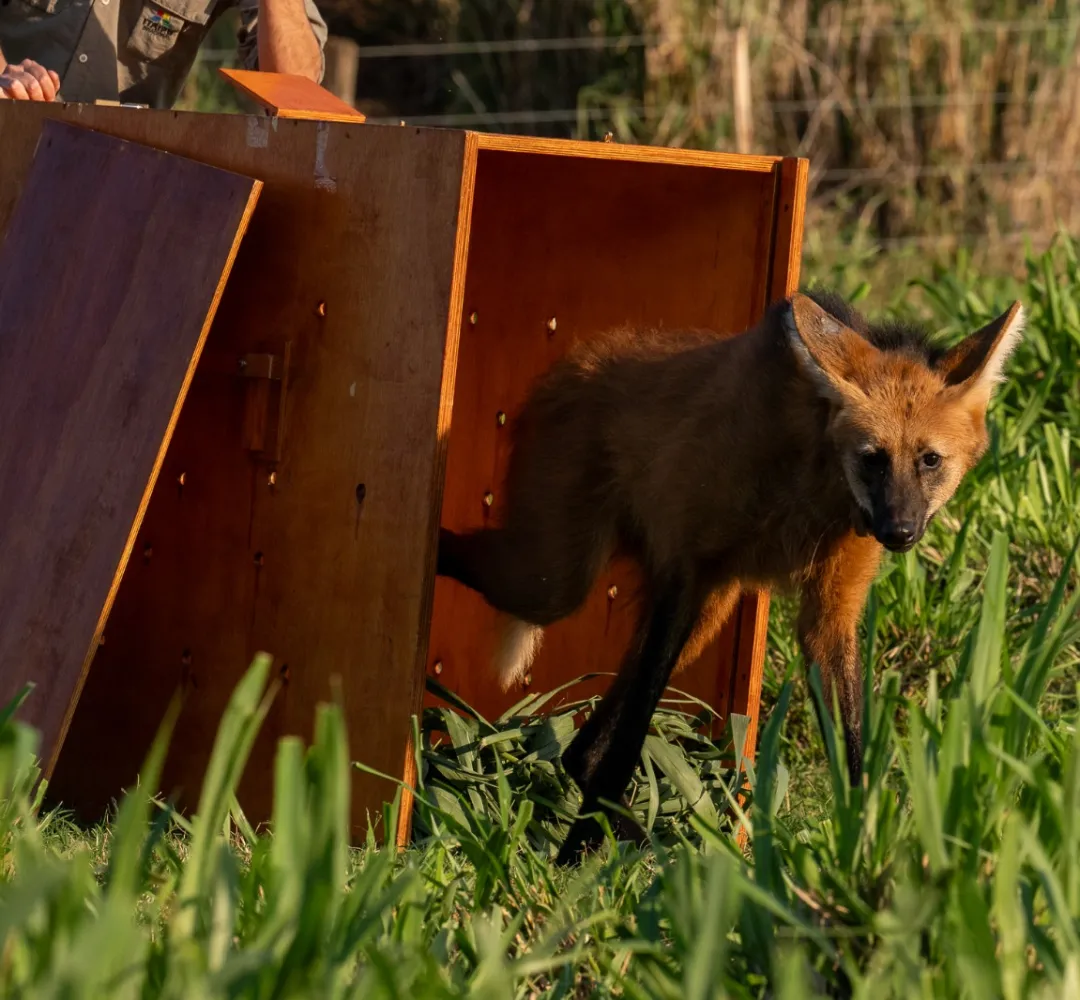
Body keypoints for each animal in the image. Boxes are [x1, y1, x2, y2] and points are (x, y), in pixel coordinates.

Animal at [437, 289, 1025, 864]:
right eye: (873, 459)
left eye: (929, 460)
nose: (899, 530)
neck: (812, 480)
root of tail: (570, 362)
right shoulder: (686, 574)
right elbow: (630, 740)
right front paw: (572, 863)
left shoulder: (827, 611)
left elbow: (850, 742)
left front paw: (862, 846)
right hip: (556, 580)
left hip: (706, 612)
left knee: (581, 751)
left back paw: (644, 840)